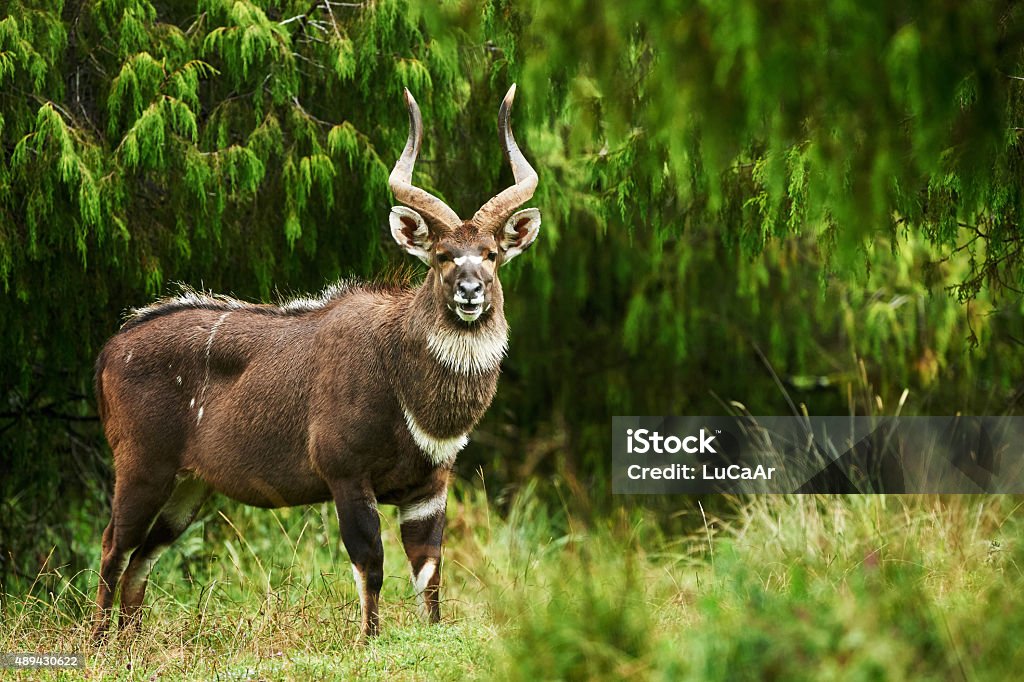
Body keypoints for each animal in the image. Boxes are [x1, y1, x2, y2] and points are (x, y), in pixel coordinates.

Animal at [94, 83, 544, 638]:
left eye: (491, 254)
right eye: (442, 255)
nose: (470, 291)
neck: (402, 375)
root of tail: (110, 351)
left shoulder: (429, 487)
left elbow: (430, 575)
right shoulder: (345, 474)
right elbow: (370, 564)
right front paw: (369, 640)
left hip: (189, 487)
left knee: (143, 557)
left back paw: (128, 643)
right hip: (142, 467)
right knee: (114, 546)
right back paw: (98, 644)